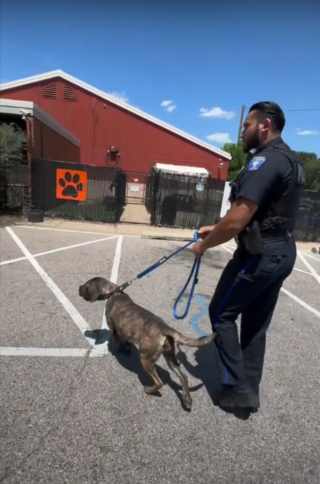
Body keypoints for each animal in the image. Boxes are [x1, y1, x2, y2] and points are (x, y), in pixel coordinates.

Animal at [78, 278, 216, 410]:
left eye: (86, 286)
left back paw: (149, 390)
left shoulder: (113, 327)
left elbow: (118, 340)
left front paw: (121, 349)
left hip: (145, 359)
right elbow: (125, 340)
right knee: (184, 377)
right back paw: (187, 400)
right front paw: (126, 348)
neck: (113, 291)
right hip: (170, 357)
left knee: (159, 382)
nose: (78, 287)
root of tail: (165, 328)